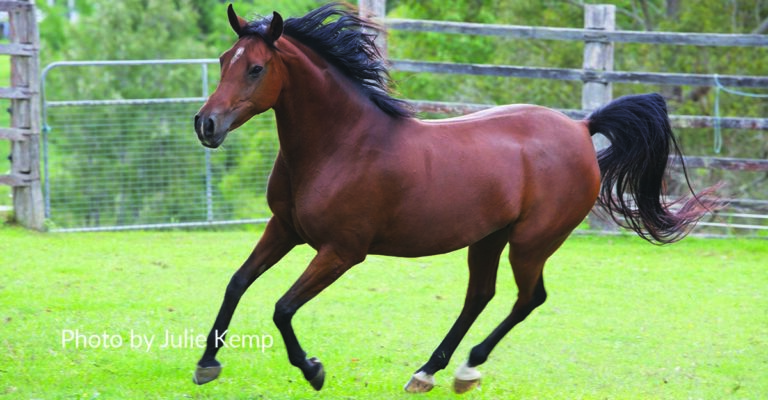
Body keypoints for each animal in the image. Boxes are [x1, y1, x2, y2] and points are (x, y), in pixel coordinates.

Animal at [192, 3, 713, 394]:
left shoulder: (342, 251)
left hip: (531, 243)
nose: (206, 125)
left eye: (256, 68)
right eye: (222, 59)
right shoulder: (284, 229)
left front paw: (313, 370)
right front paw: (206, 364)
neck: (342, 144)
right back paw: (427, 372)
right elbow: (237, 283)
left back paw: (466, 368)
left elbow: (282, 308)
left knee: (529, 298)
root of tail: (582, 129)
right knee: (480, 296)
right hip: (488, 239)